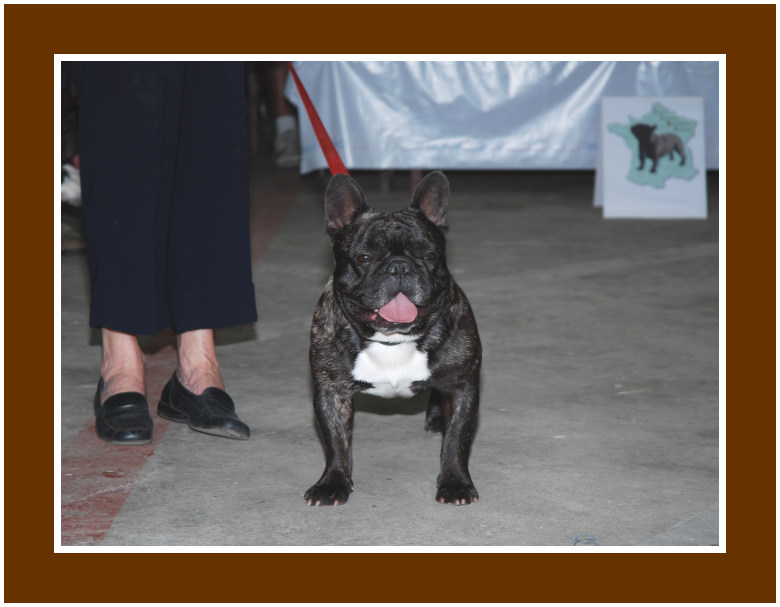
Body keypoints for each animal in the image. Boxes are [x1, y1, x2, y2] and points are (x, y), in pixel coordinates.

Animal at [305, 171, 481, 506]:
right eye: (363, 257)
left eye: (430, 255)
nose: (399, 266)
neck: (393, 338)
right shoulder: (331, 390)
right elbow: (335, 442)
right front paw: (332, 482)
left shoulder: (461, 386)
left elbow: (457, 440)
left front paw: (455, 483)